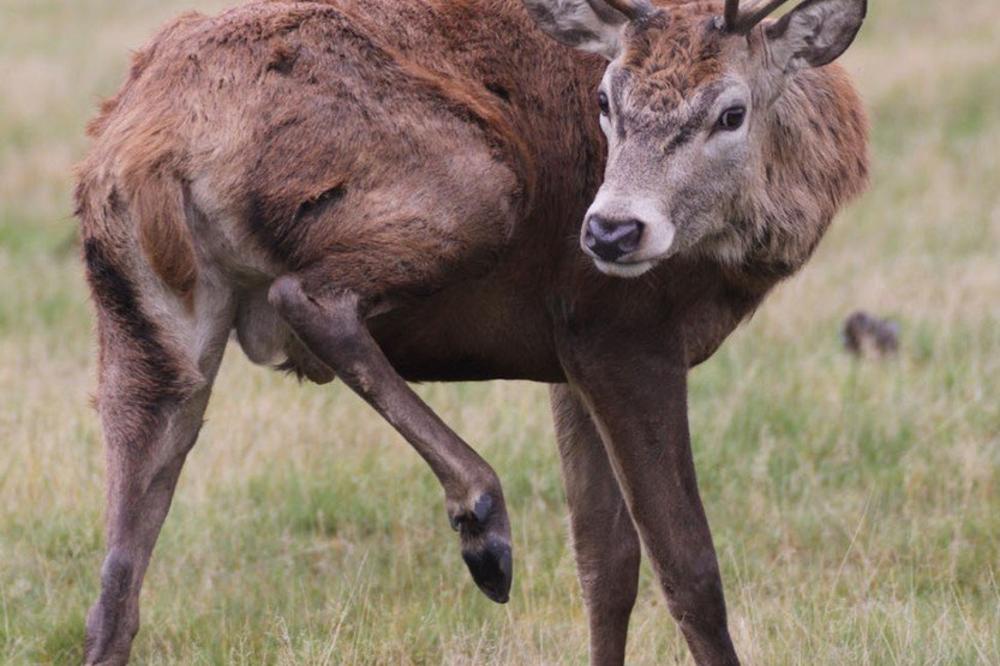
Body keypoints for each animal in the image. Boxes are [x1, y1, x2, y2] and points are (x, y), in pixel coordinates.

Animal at [74, 0, 868, 660]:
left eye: (732, 112)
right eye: (605, 100)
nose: (610, 231)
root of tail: (151, 139)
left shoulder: (568, 358)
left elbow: (605, 565)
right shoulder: (618, 328)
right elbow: (688, 567)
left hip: (143, 309)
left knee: (119, 577)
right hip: (482, 182)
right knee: (309, 295)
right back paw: (484, 521)